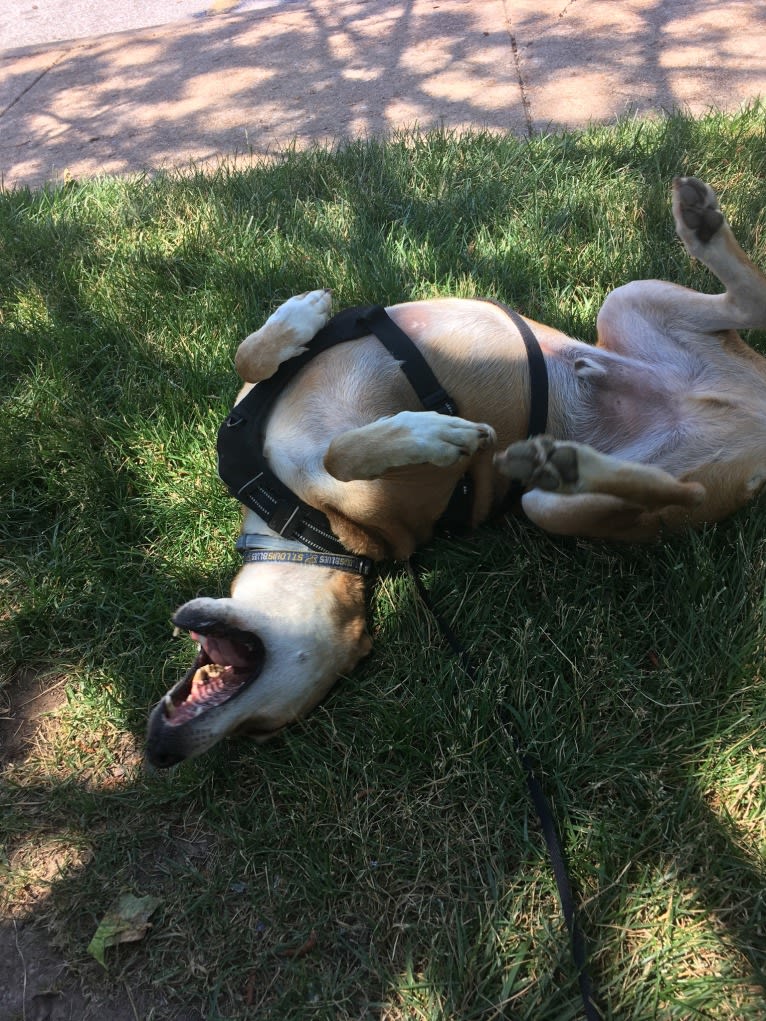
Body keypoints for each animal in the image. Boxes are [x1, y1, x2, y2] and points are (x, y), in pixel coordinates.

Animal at [145, 177, 766, 767]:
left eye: (258, 729)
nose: (159, 754)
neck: (302, 520)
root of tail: (757, 413)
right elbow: (303, 415)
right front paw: (424, 428)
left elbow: (288, 401)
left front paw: (304, 321)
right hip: (593, 448)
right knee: (682, 481)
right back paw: (564, 462)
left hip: (627, 303)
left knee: (743, 319)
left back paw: (702, 229)